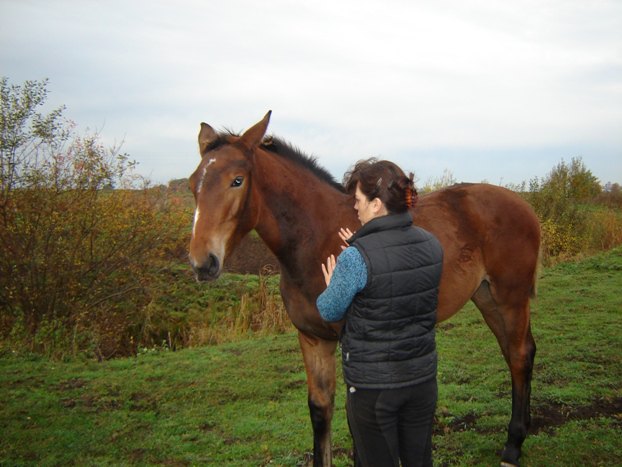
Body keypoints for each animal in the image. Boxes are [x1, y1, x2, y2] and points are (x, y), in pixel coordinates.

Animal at [189, 112, 540, 467]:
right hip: (486, 297)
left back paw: (512, 446)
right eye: (193, 184)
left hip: (510, 298)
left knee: (519, 355)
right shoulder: (312, 338)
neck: (318, 239)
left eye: (237, 181)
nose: (203, 262)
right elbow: (320, 410)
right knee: (516, 351)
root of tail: (523, 205)